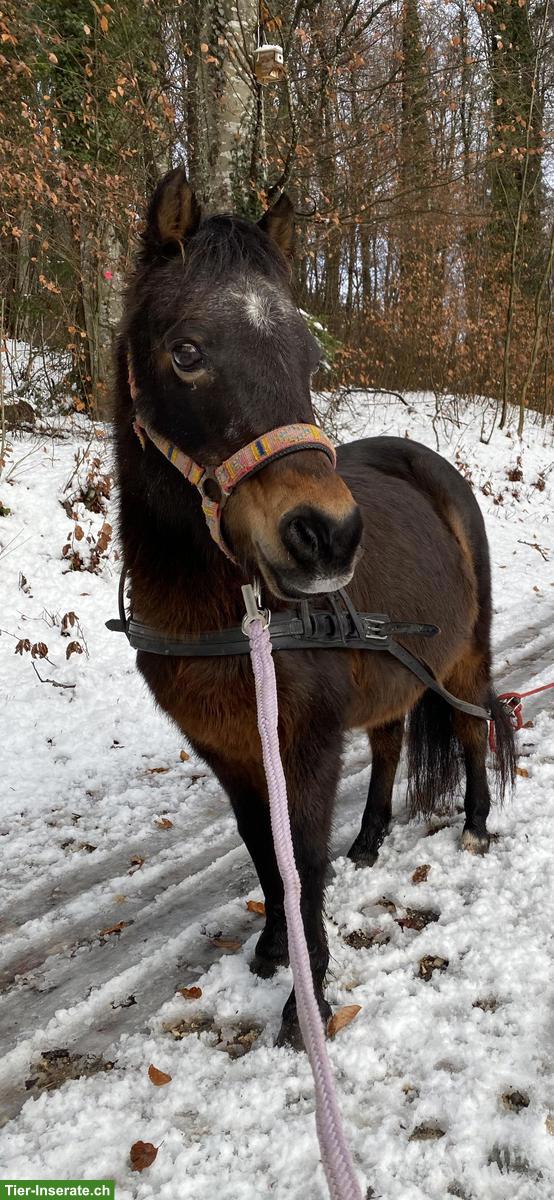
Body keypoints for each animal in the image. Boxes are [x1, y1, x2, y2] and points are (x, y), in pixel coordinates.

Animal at [113, 166, 515, 1049]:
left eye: (308, 357)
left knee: (471, 727)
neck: (231, 619)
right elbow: (267, 855)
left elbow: (301, 860)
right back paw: (368, 839)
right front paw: (273, 952)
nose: (326, 536)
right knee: (393, 744)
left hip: (464, 654)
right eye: (186, 352)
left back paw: (475, 823)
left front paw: (309, 1002)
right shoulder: (230, 749)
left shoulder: (307, 742)